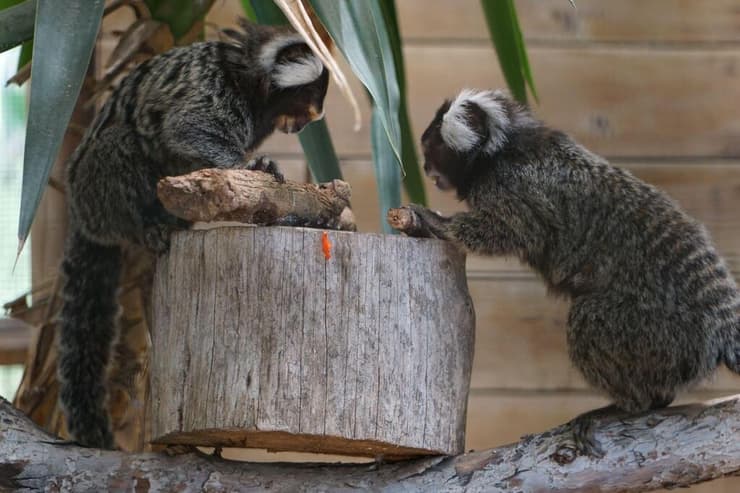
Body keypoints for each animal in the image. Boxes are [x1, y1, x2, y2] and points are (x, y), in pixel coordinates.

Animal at [59, 21, 330, 448]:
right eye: (311, 97)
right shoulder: (213, 90)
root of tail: (79, 210)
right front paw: (249, 166)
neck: (248, 78)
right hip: (95, 187)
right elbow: (186, 128)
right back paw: (150, 226)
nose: (316, 116)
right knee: (121, 142)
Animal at [410, 87, 740, 454]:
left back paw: (630, 406)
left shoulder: (513, 186)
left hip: (663, 332)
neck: (500, 152)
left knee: (588, 316)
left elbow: (514, 230)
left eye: (431, 148)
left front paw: (439, 224)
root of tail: (723, 325)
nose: (425, 166)